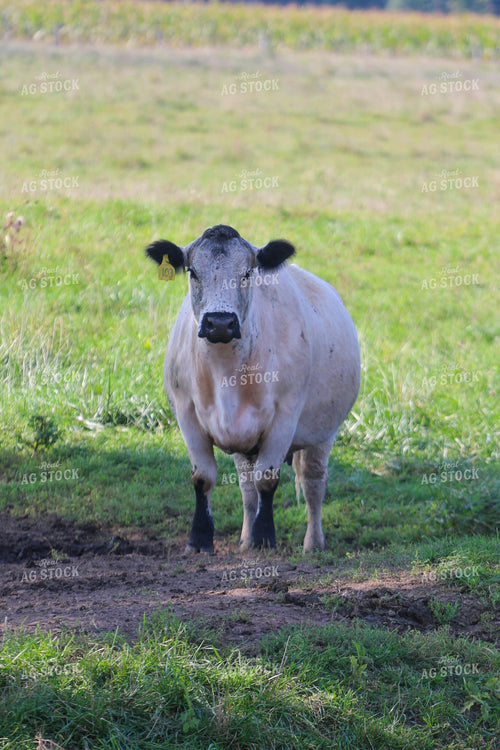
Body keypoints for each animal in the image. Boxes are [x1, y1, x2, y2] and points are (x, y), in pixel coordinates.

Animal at [146, 224, 360, 554]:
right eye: (193, 272)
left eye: (247, 272)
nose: (220, 323)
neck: (226, 373)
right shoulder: (186, 414)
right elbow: (204, 478)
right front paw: (200, 539)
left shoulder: (285, 417)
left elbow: (267, 480)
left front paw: (265, 538)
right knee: (247, 488)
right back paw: (245, 539)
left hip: (323, 434)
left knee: (313, 484)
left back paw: (313, 543)